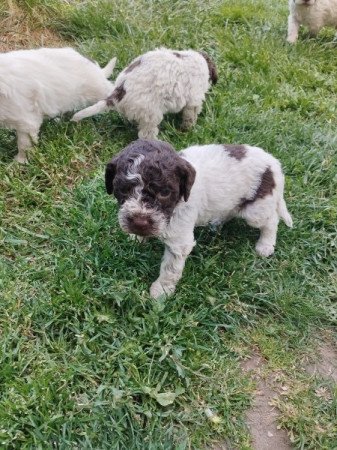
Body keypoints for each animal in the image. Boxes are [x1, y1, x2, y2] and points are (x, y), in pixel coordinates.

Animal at [72, 47, 217, 139]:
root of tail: (118, 93)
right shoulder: (194, 98)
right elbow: (190, 115)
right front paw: (188, 128)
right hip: (150, 113)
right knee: (146, 134)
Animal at [105, 139, 292, 298]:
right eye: (123, 190)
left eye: (165, 193)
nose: (139, 223)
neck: (179, 201)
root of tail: (274, 165)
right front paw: (137, 237)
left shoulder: (179, 241)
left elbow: (170, 269)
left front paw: (161, 291)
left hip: (256, 210)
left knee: (271, 220)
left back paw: (266, 244)